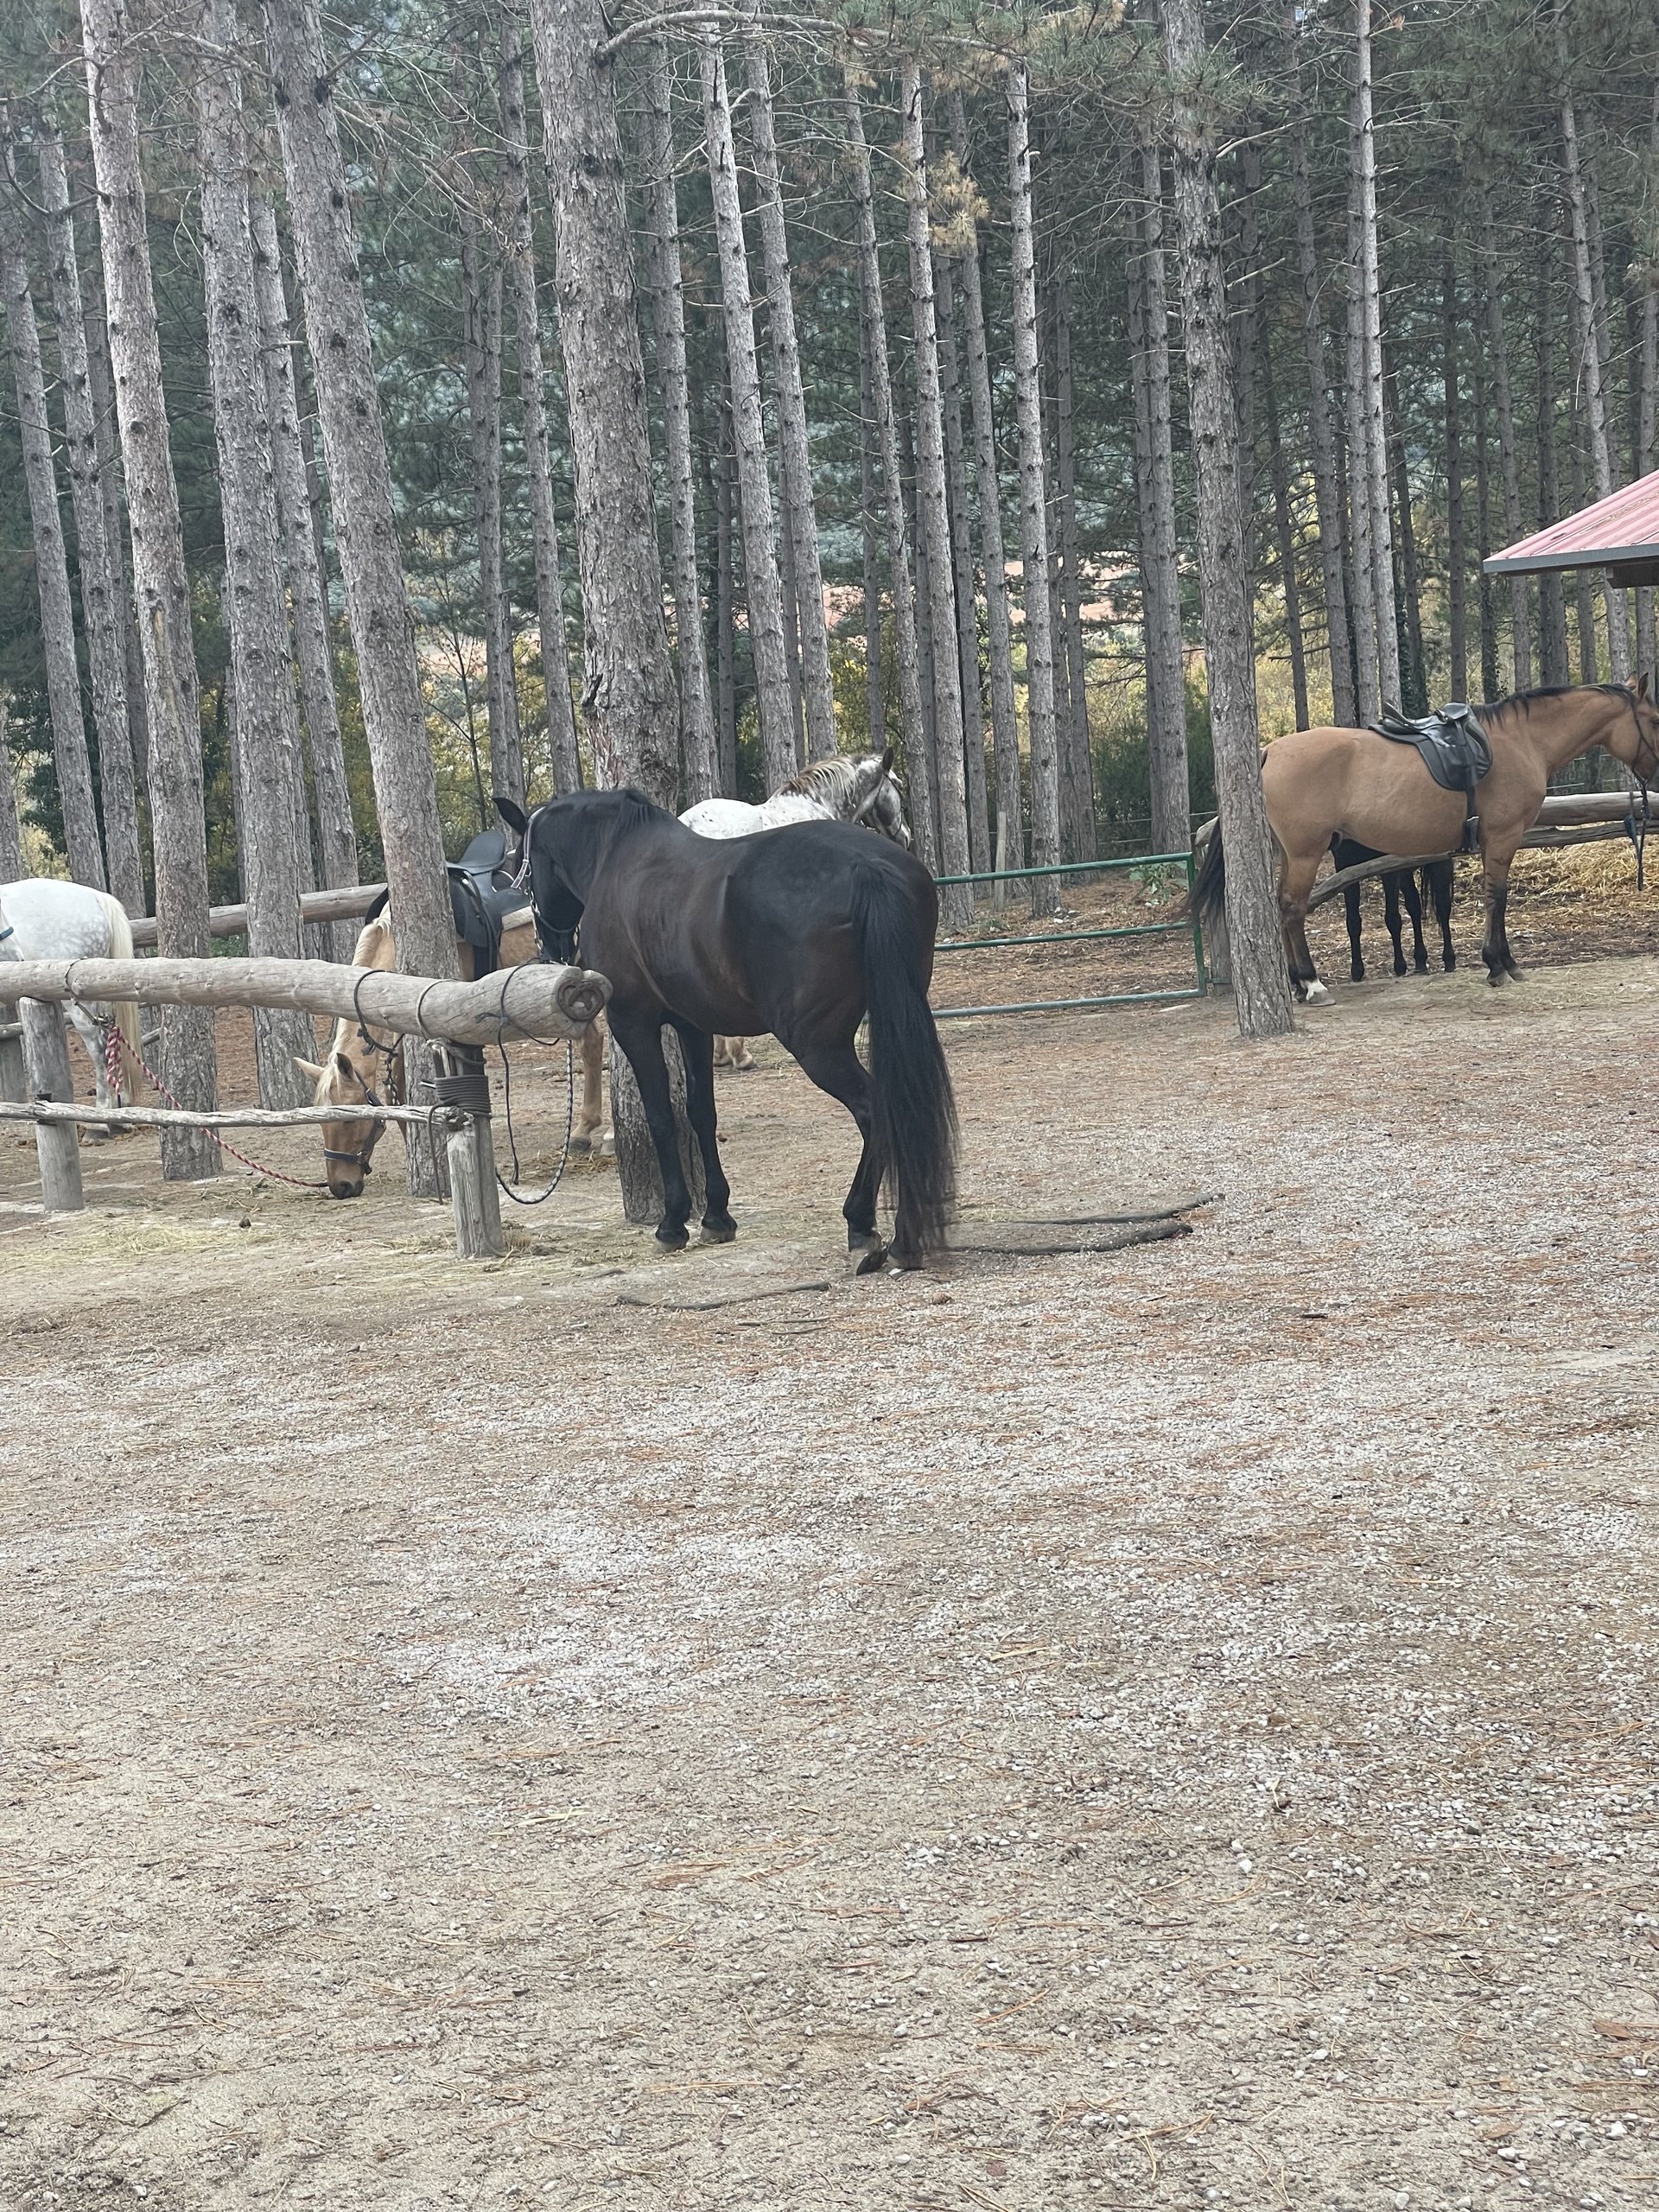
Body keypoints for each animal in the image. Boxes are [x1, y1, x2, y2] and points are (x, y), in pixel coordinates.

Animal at [295, 900, 609, 1199]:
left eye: (349, 1120)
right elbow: (395, 1088)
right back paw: (582, 1131)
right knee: (592, 1043)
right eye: (321, 1122)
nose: (341, 1186)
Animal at [503, 788, 956, 1270]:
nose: (550, 950)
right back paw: (906, 1238)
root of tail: (868, 868)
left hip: (818, 1044)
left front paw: (672, 1223)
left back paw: (863, 1228)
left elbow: (661, 1117)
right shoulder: (693, 1026)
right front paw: (717, 1217)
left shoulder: (633, 1024)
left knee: (876, 1110)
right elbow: (701, 1112)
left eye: (523, 872)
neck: (618, 857)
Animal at [1332, 840, 1456, 981]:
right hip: (1405, 871)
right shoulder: (1346, 868)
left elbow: (1393, 919)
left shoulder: (1388, 870)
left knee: (1443, 906)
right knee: (1414, 906)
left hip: (1439, 864)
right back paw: (1420, 961)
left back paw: (1449, 960)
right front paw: (1357, 970)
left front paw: (1400, 965)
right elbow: (1353, 922)